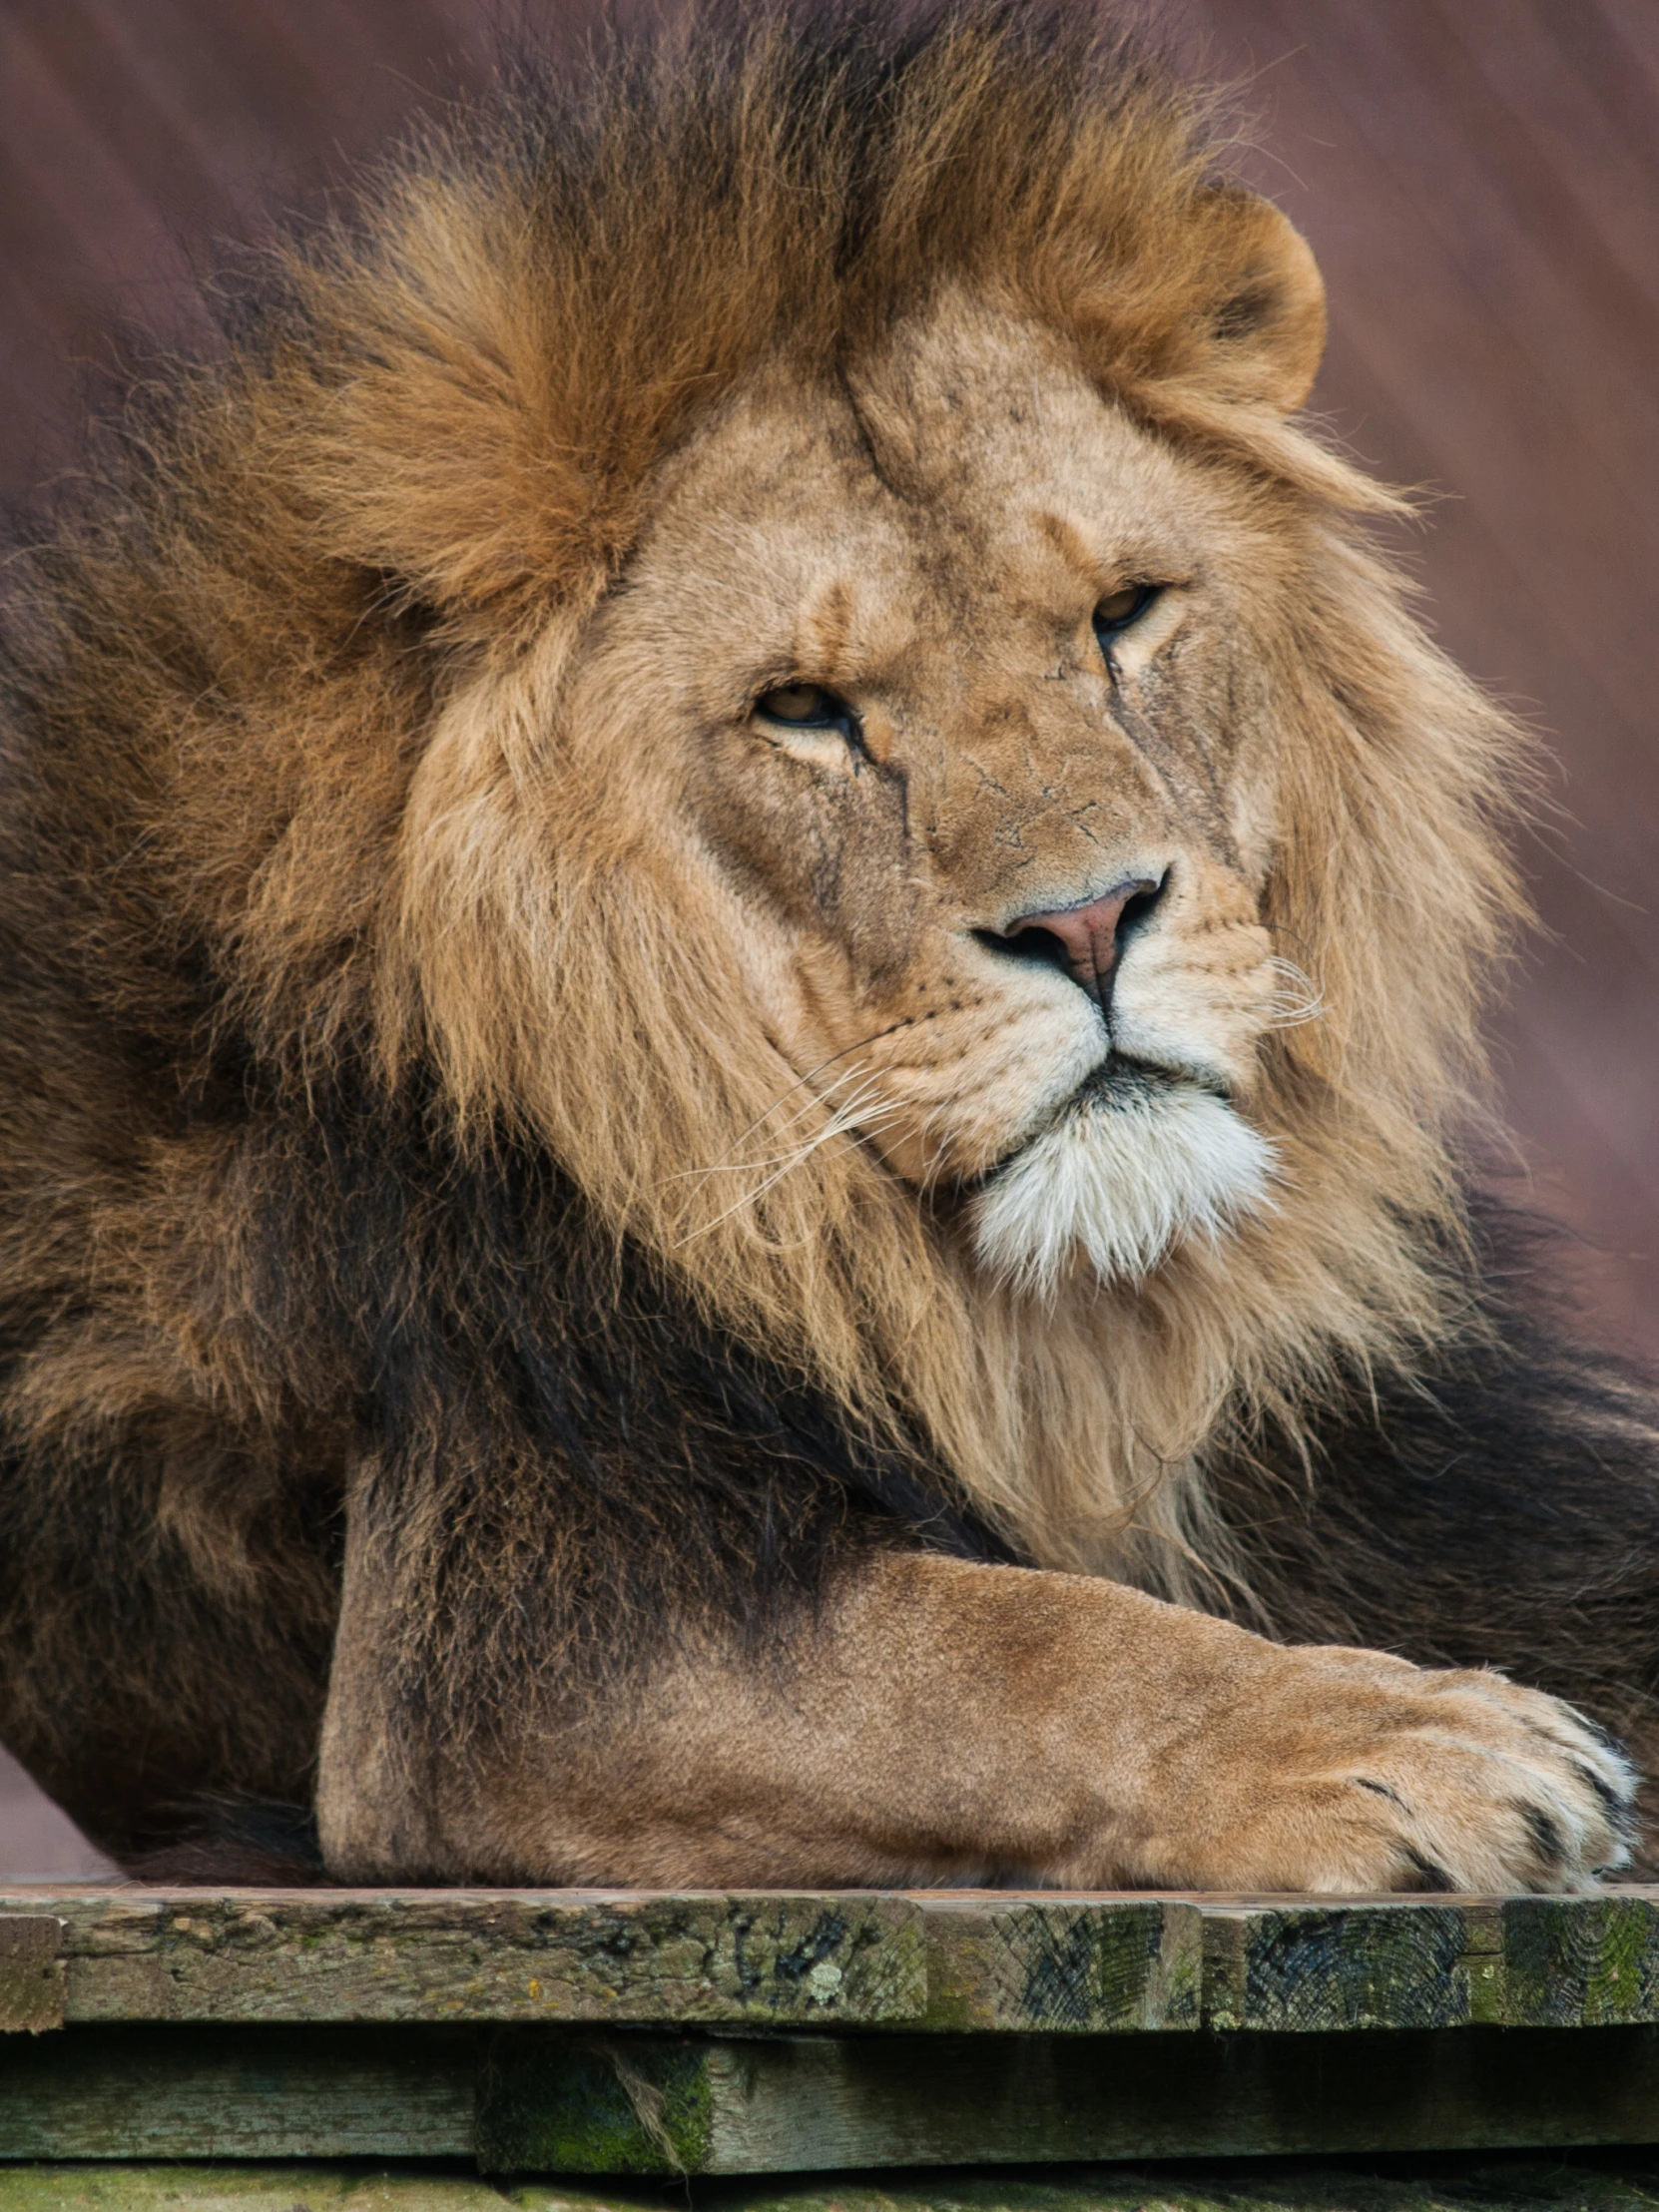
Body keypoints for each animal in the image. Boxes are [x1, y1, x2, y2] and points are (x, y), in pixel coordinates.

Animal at [3, 4, 1659, 1902]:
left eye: (1123, 615)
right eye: (802, 711)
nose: (1088, 920)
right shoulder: (501, 1647)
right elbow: (1019, 1644)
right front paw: (1406, 1738)